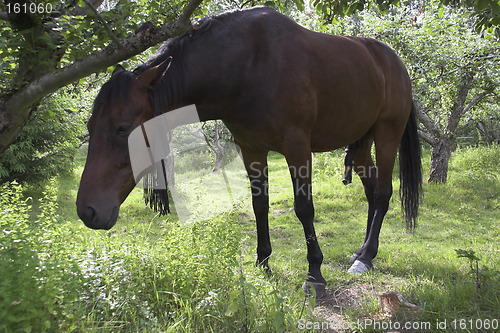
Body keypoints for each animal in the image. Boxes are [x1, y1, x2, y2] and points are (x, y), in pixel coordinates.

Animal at [77, 5, 422, 296]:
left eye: (122, 128)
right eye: (91, 126)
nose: (87, 210)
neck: (248, 66)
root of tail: (394, 62)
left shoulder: (297, 147)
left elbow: (304, 208)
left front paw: (314, 275)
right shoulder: (251, 150)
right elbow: (260, 206)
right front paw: (262, 264)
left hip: (387, 134)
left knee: (382, 193)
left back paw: (366, 256)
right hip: (361, 143)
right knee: (371, 190)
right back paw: (362, 251)